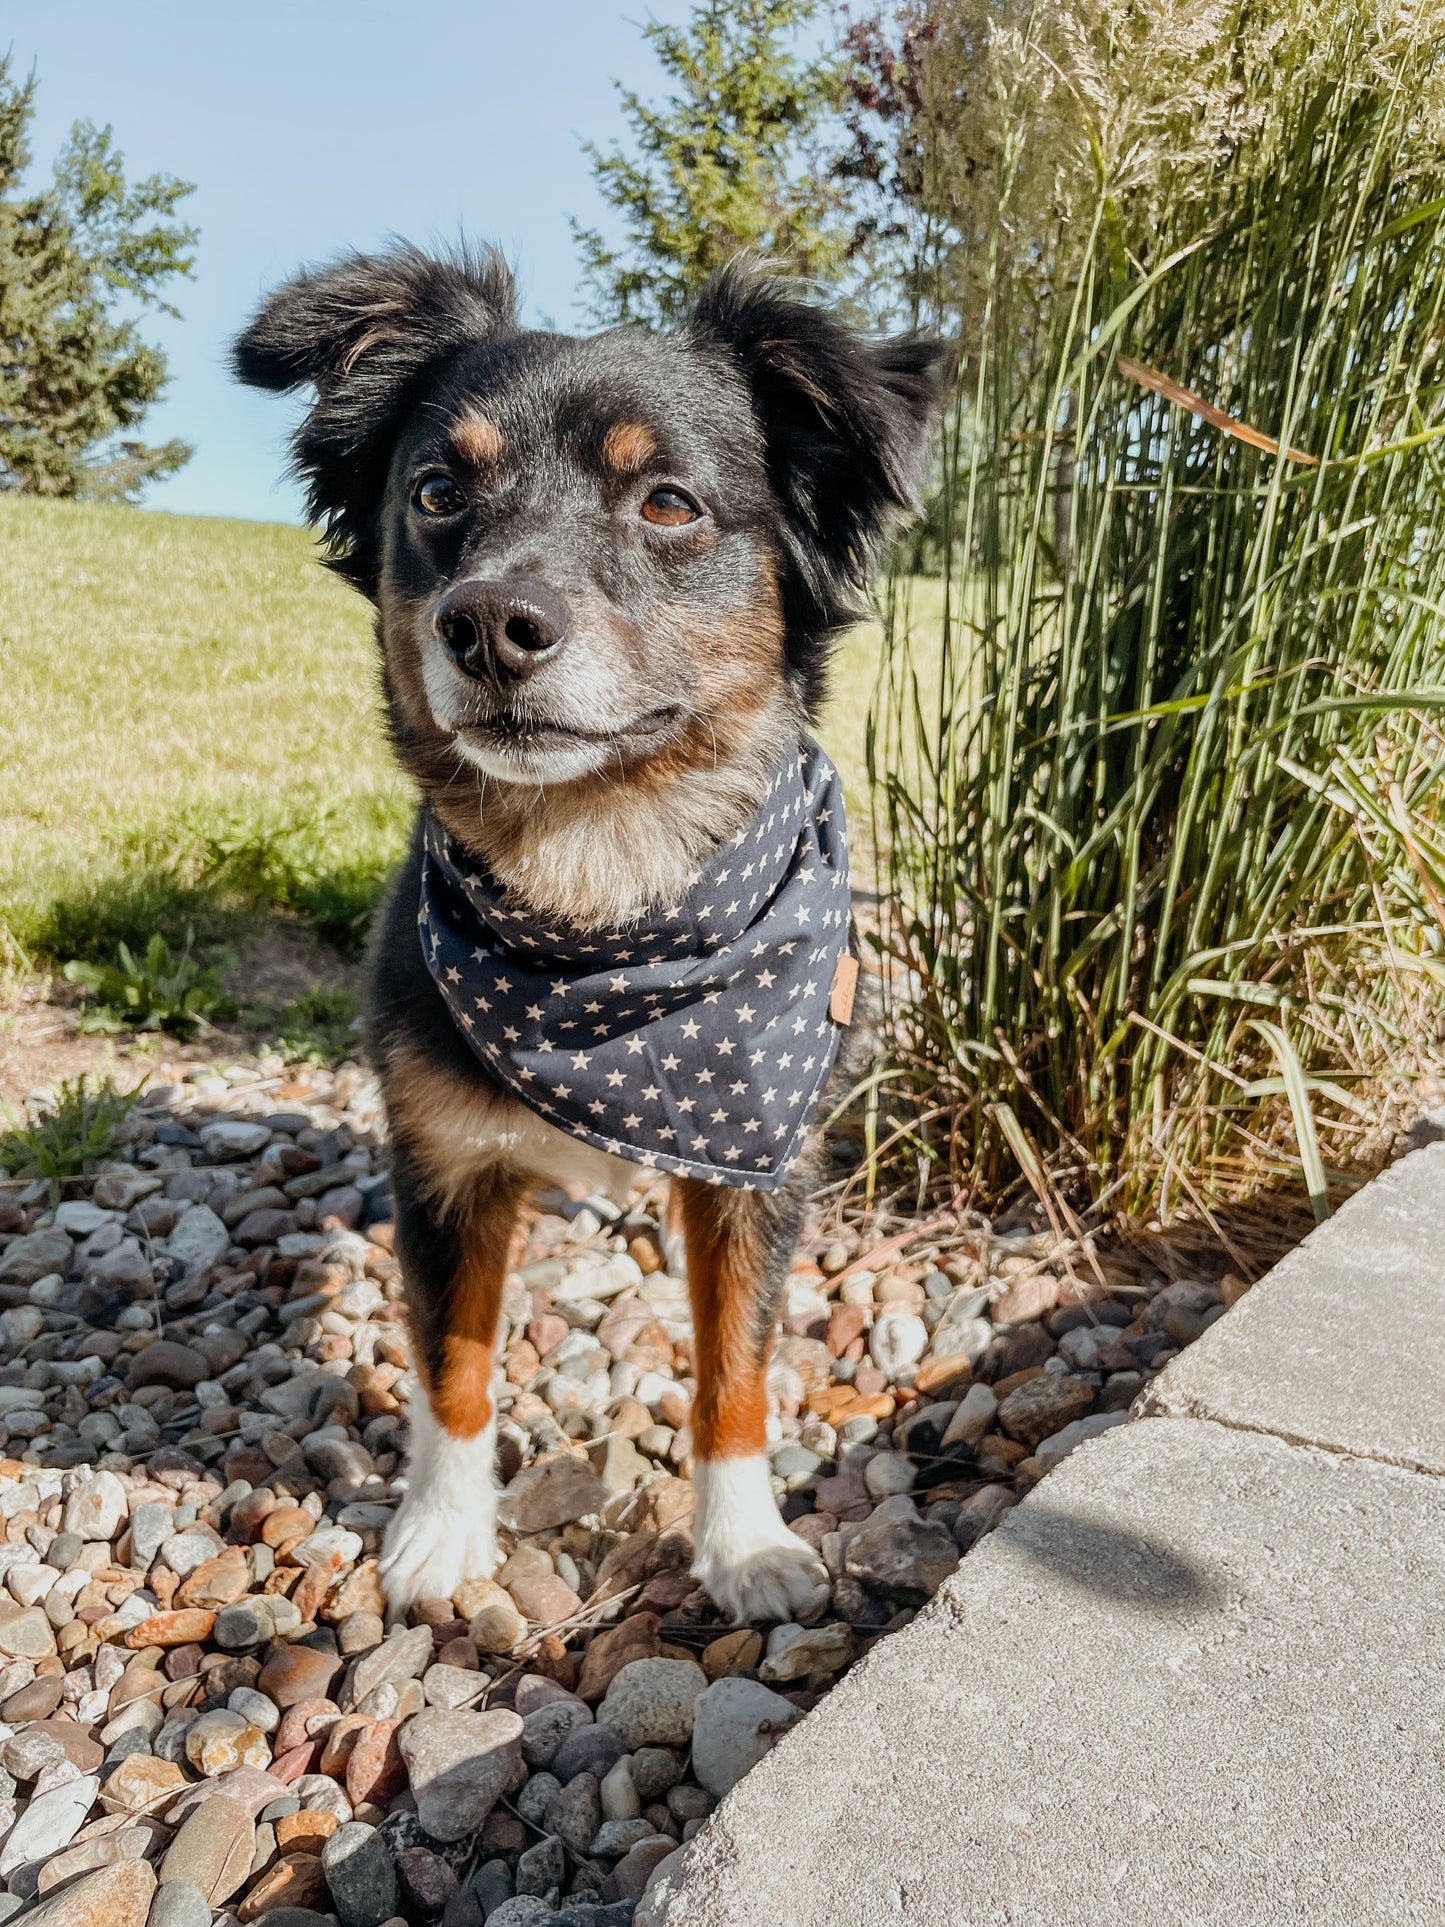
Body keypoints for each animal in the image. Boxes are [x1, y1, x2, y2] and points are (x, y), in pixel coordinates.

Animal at [235, 244, 951, 1626]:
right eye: (436, 491)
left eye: (668, 502)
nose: (486, 623)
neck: (603, 894)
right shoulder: (445, 1166)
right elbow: (452, 1360)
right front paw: (439, 1534)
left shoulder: (758, 1169)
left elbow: (736, 1367)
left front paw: (745, 1546)